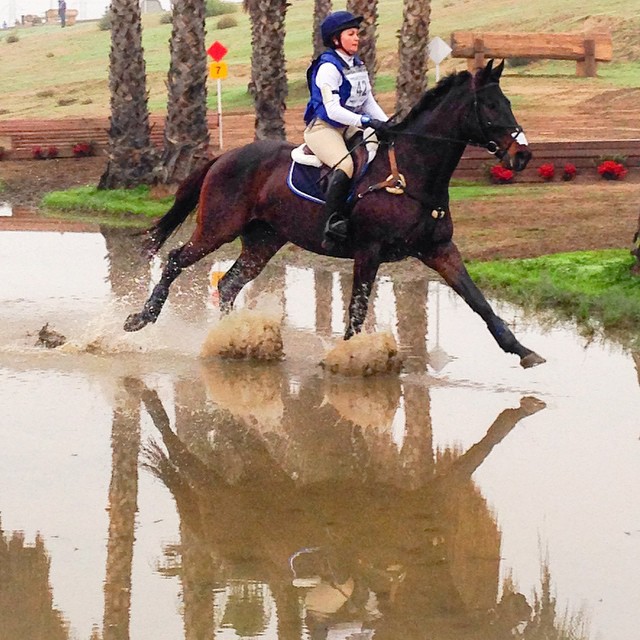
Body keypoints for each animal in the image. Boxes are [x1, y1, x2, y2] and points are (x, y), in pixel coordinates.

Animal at [125, 61, 544, 370]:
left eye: (507, 102)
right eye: (491, 106)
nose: (522, 155)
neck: (415, 172)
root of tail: (224, 156)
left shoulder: (440, 250)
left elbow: (478, 301)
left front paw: (522, 351)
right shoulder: (369, 252)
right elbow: (357, 310)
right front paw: (348, 358)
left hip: (263, 240)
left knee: (228, 284)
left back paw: (233, 337)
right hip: (218, 228)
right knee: (176, 259)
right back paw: (141, 319)